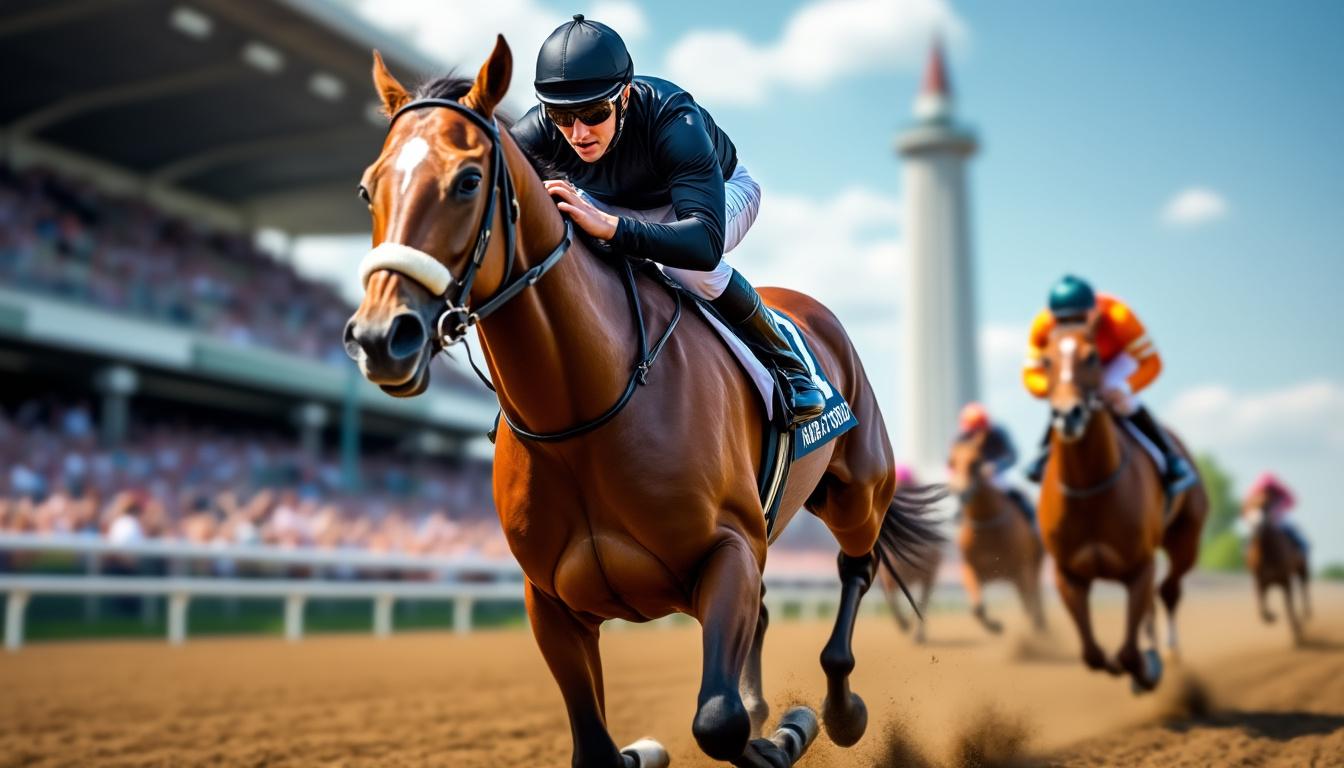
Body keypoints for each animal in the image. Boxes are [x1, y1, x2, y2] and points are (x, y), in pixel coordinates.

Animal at [343, 37, 942, 767]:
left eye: (466, 181)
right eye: (369, 186)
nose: (381, 337)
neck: (581, 415)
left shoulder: (727, 551)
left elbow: (719, 722)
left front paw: (786, 735)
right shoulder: (550, 601)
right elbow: (602, 748)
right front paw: (649, 749)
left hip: (858, 488)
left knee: (856, 567)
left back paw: (841, 709)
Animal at [947, 432, 1047, 636]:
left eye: (976, 462)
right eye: (951, 462)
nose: (960, 493)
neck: (986, 526)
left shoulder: (1022, 570)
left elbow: (1030, 606)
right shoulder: (970, 569)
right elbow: (977, 609)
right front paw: (996, 626)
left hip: (1032, 567)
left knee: (1035, 602)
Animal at [1035, 315, 1207, 692]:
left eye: (1092, 357)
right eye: (1046, 361)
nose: (1067, 415)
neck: (1090, 487)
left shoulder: (1140, 566)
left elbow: (1128, 653)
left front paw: (1146, 669)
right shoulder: (1068, 573)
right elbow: (1092, 654)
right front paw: (1119, 664)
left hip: (1186, 538)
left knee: (1169, 590)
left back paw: (1169, 652)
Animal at [1244, 499, 1311, 646]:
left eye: (1265, 506)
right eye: (1248, 507)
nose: (1257, 525)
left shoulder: (1285, 580)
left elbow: (1289, 607)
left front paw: (1297, 634)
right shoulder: (1260, 581)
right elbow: (1261, 609)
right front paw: (1272, 617)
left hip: (1303, 568)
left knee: (1304, 587)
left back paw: (1306, 614)